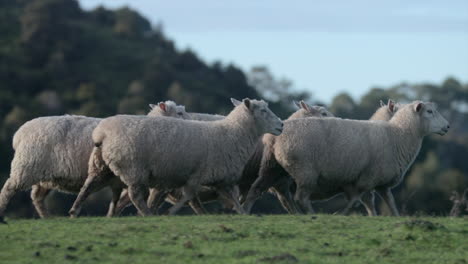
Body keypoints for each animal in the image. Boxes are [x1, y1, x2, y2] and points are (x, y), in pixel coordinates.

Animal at [0, 100, 186, 222]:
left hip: (46, 177)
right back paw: (3, 211)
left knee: (37, 197)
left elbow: (124, 200)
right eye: (179, 113)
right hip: (26, 167)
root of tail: (19, 133)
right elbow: (146, 200)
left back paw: (47, 217)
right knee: (9, 189)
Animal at [67, 98, 284, 218]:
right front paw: (168, 213)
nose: (281, 125)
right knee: (135, 196)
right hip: (134, 169)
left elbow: (233, 201)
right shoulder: (198, 176)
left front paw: (243, 213)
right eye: (263, 110)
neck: (232, 133)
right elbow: (190, 196)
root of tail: (101, 133)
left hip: (100, 166)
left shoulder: (221, 179)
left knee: (88, 187)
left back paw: (75, 212)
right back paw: (147, 215)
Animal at [256, 100, 450, 214]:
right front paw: (340, 214)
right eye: (430, 111)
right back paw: (310, 216)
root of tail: (275, 135)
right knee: (300, 198)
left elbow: (389, 204)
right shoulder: (365, 179)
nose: (448, 126)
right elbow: (357, 201)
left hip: (279, 175)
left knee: (284, 199)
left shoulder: (380, 184)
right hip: (304, 172)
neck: (397, 134)